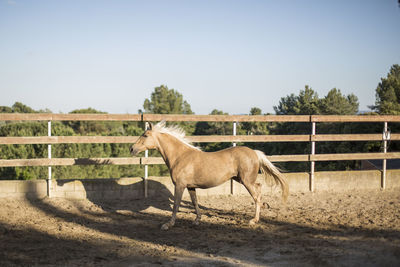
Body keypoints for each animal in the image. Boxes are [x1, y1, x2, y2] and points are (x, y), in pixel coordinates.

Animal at [130, 121, 290, 230]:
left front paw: (168, 224)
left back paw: (253, 220)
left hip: (246, 181)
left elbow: (175, 205)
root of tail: (254, 152)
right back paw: (263, 207)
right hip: (241, 179)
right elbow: (195, 202)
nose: (132, 149)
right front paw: (197, 220)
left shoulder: (180, 186)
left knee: (256, 195)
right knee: (259, 187)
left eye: (145, 135)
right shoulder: (191, 187)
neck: (180, 156)